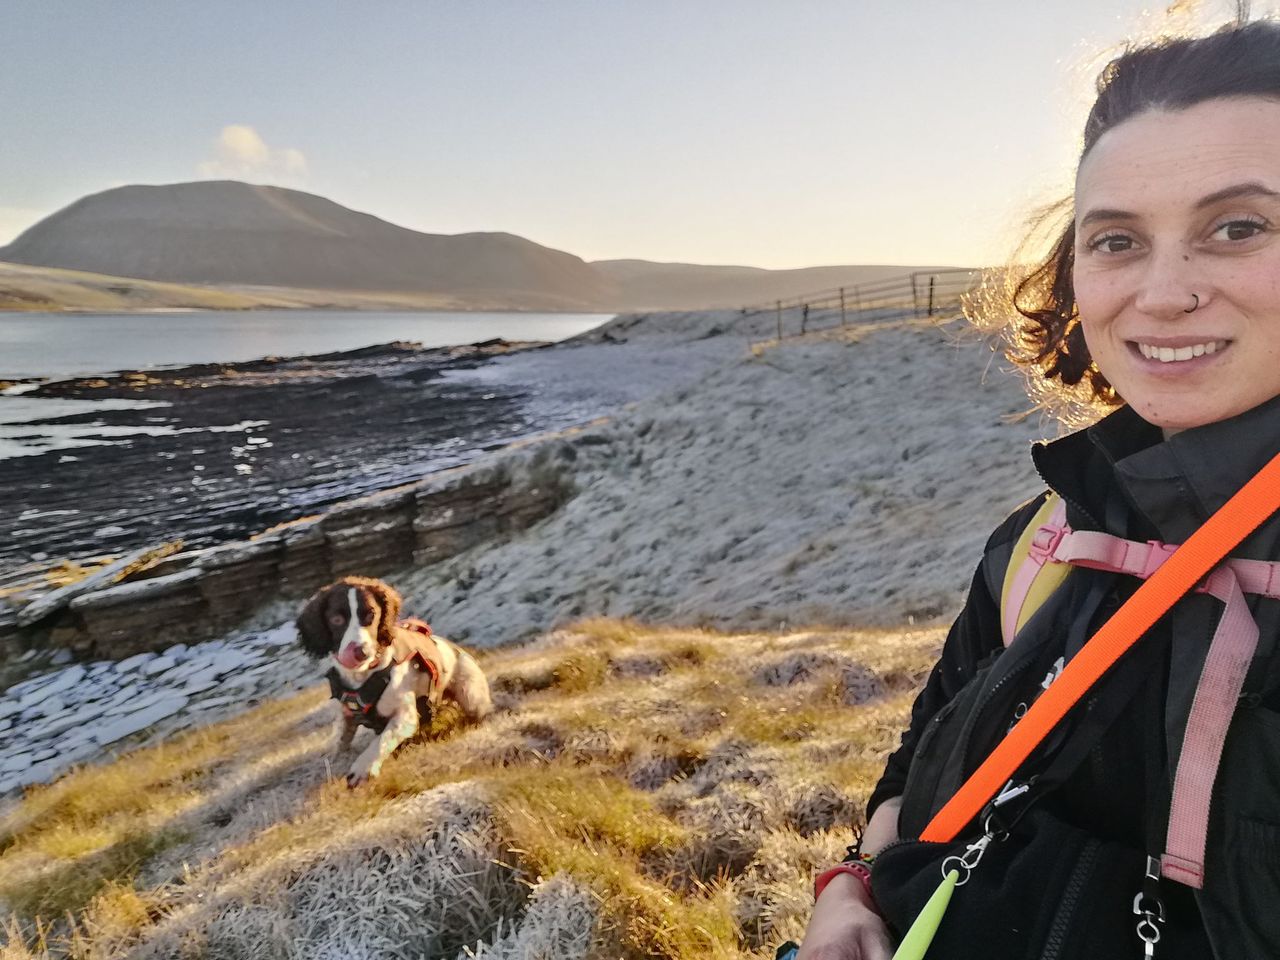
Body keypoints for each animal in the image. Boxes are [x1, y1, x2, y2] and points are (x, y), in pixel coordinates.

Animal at [296, 576, 491, 783]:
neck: (363, 677)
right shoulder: (345, 714)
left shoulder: (405, 716)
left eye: (371, 614)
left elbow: (381, 740)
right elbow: (340, 741)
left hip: (471, 694)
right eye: (336, 619)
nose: (361, 652)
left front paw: (363, 768)